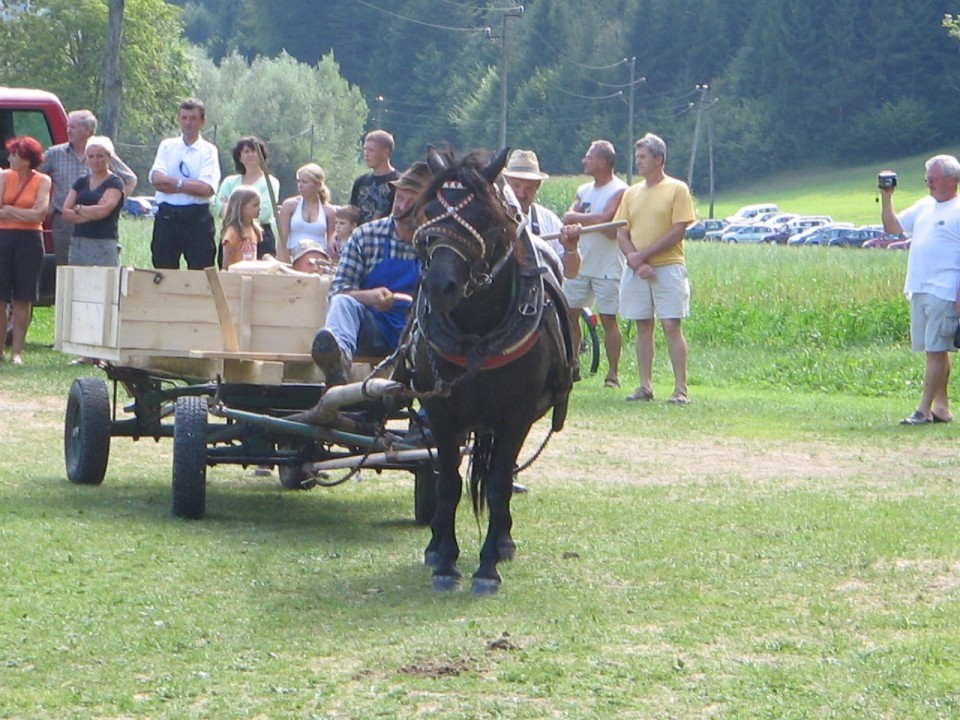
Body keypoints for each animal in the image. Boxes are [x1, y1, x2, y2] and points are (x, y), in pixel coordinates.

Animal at [408, 146, 572, 596]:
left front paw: (487, 567)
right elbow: (448, 481)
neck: (478, 331)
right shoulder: (442, 414)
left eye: (482, 215)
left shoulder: (516, 417)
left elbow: (499, 484)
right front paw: (445, 560)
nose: (439, 285)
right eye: (430, 211)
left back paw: (501, 542)